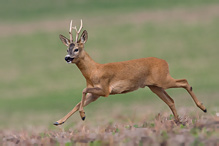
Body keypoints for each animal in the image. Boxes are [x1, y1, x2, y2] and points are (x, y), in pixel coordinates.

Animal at [53, 19, 207, 125]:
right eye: (67, 49)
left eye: (76, 49)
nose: (67, 58)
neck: (93, 71)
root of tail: (165, 62)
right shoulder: (96, 94)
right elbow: (78, 102)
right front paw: (58, 121)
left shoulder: (105, 89)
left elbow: (83, 91)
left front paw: (83, 116)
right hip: (155, 86)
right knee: (170, 100)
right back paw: (178, 122)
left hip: (163, 79)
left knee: (185, 81)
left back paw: (203, 108)